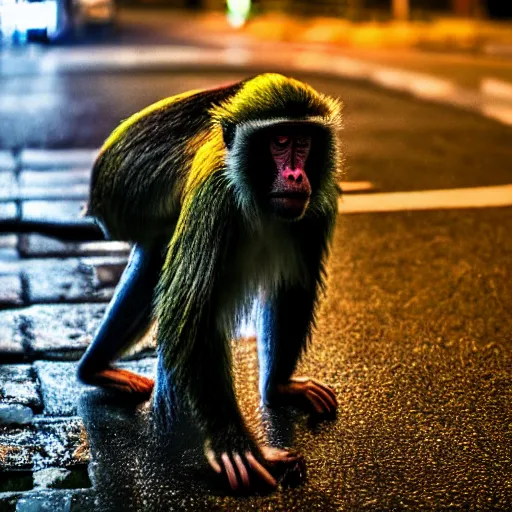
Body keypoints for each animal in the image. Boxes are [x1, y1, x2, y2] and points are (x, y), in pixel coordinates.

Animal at [25, 73, 344, 492]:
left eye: (302, 141)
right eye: (279, 141)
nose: (295, 175)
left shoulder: (316, 202)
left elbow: (293, 290)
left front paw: (278, 387)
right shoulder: (215, 196)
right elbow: (191, 314)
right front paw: (233, 443)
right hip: (127, 197)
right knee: (157, 269)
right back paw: (95, 370)